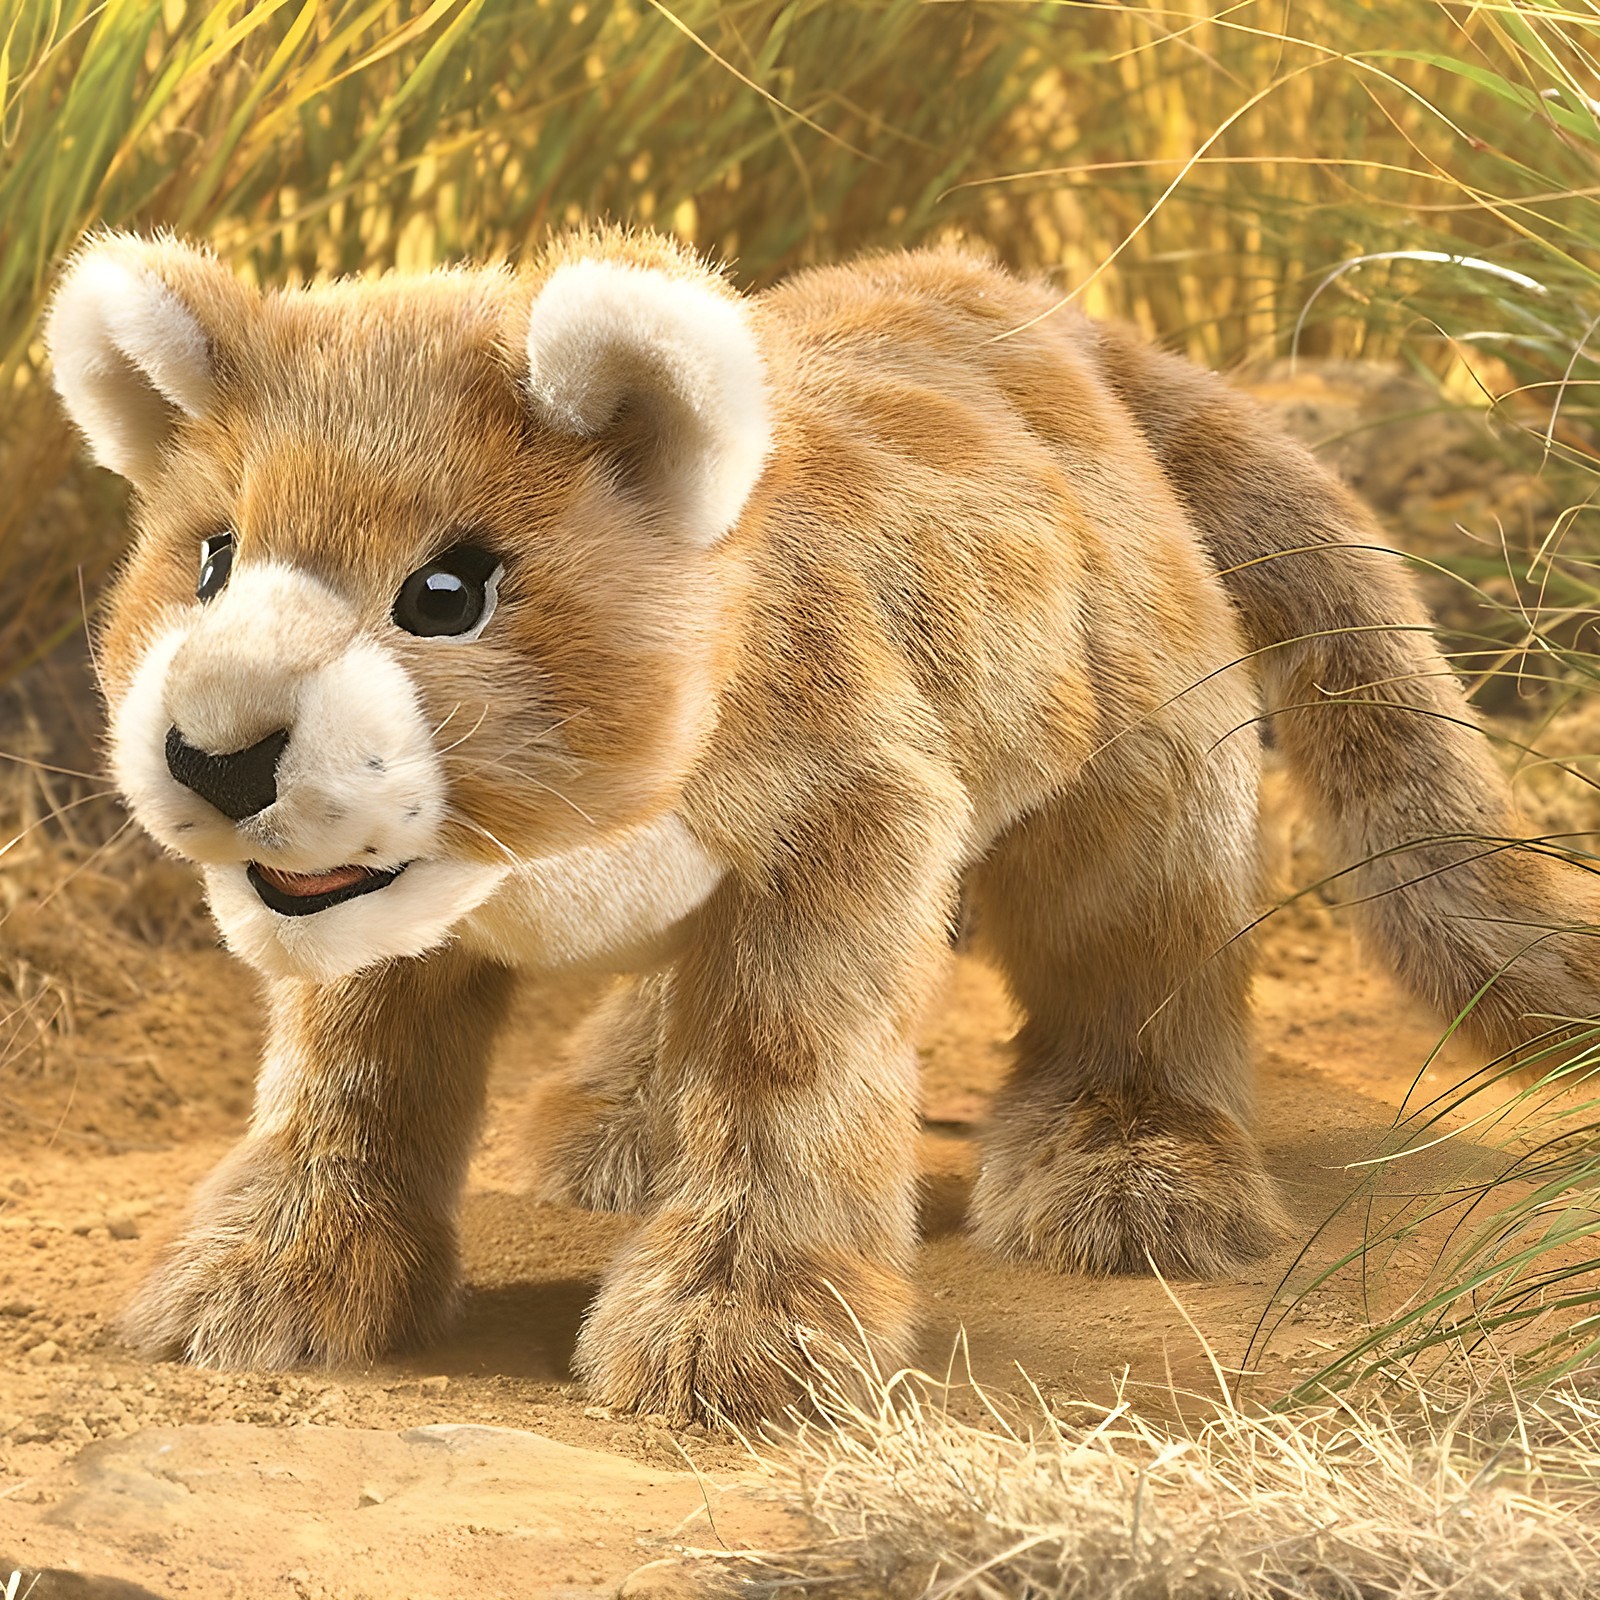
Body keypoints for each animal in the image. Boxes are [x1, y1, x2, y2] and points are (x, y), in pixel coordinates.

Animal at [42, 227, 1599, 1424]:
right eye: (212, 559)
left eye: (448, 593)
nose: (217, 751)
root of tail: (1021, 294)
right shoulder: (376, 913)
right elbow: (351, 1081)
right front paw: (270, 1282)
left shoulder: (848, 818)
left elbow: (785, 1065)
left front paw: (740, 1335)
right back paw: (616, 1124)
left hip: (1137, 782)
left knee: (1136, 957)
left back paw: (1132, 1174)